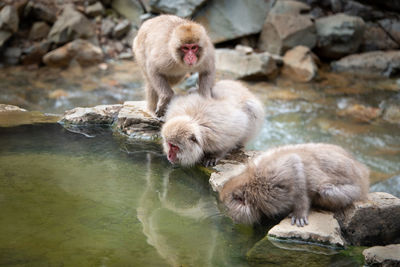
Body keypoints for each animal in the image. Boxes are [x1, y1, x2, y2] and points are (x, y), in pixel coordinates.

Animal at [220, 143, 370, 227]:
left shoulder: (273, 179)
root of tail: (363, 171)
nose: (227, 216)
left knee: (325, 191)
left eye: (227, 208)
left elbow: (295, 165)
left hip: (353, 190)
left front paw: (299, 212)